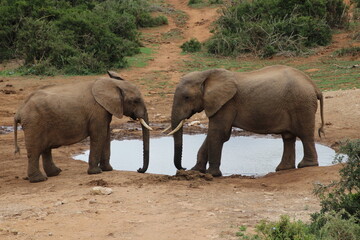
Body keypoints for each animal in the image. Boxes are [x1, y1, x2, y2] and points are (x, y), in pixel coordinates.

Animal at [13, 70, 152, 183]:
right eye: (135, 101)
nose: (139, 169)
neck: (111, 83)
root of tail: (19, 110)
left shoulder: (104, 111)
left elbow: (106, 135)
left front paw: (108, 170)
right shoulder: (98, 111)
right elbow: (99, 135)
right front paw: (96, 172)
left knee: (45, 148)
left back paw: (56, 173)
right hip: (34, 122)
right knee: (35, 150)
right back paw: (39, 180)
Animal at [167, 65, 324, 176]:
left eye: (187, 97)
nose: (183, 167)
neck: (206, 74)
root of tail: (314, 86)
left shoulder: (227, 103)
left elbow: (219, 133)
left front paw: (212, 175)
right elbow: (215, 134)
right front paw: (195, 171)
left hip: (302, 104)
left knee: (305, 134)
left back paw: (306, 165)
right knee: (288, 137)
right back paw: (283, 169)